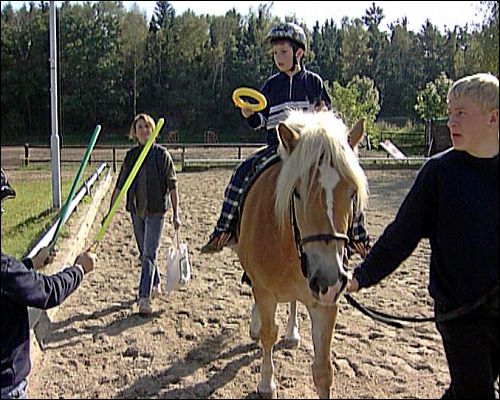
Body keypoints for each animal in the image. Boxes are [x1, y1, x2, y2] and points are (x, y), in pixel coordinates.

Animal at [234, 110, 368, 400]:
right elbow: (268, 334)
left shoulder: (326, 304)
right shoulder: (265, 291)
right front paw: (266, 384)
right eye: (296, 192)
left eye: (352, 193)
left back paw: (293, 333)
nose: (328, 280)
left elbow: (323, 371)